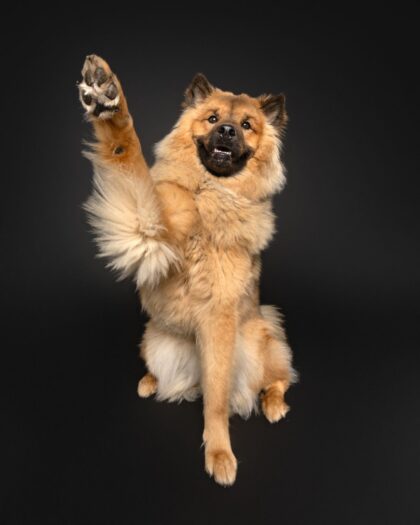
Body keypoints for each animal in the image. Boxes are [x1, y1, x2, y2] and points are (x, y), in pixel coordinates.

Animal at [77, 55, 296, 486]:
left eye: (247, 125)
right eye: (212, 118)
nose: (227, 131)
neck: (209, 194)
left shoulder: (218, 320)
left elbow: (216, 403)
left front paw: (219, 454)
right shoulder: (148, 229)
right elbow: (126, 154)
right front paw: (106, 95)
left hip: (257, 339)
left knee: (278, 375)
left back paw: (275, 404)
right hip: (153, 340)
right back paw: (150, 381)